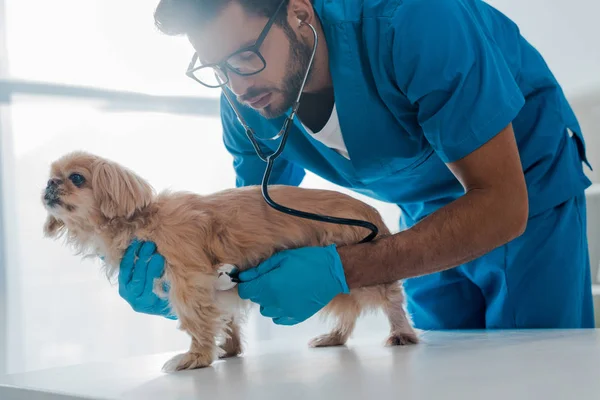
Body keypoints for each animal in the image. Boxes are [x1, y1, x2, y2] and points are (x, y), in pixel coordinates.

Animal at [42, 151, 418, 372]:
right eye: (51, 177)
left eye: (77, 178)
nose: (49, 185)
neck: (139, 220)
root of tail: (370, 211)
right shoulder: (217, 287)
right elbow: (226, 319)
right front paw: (229, 349)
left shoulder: (189, 282)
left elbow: (196, 322)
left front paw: (196, 358)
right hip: (340, 280)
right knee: (349, 312)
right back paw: (335, 337)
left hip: (359, 268)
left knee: (391, 299)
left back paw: (401, 333)